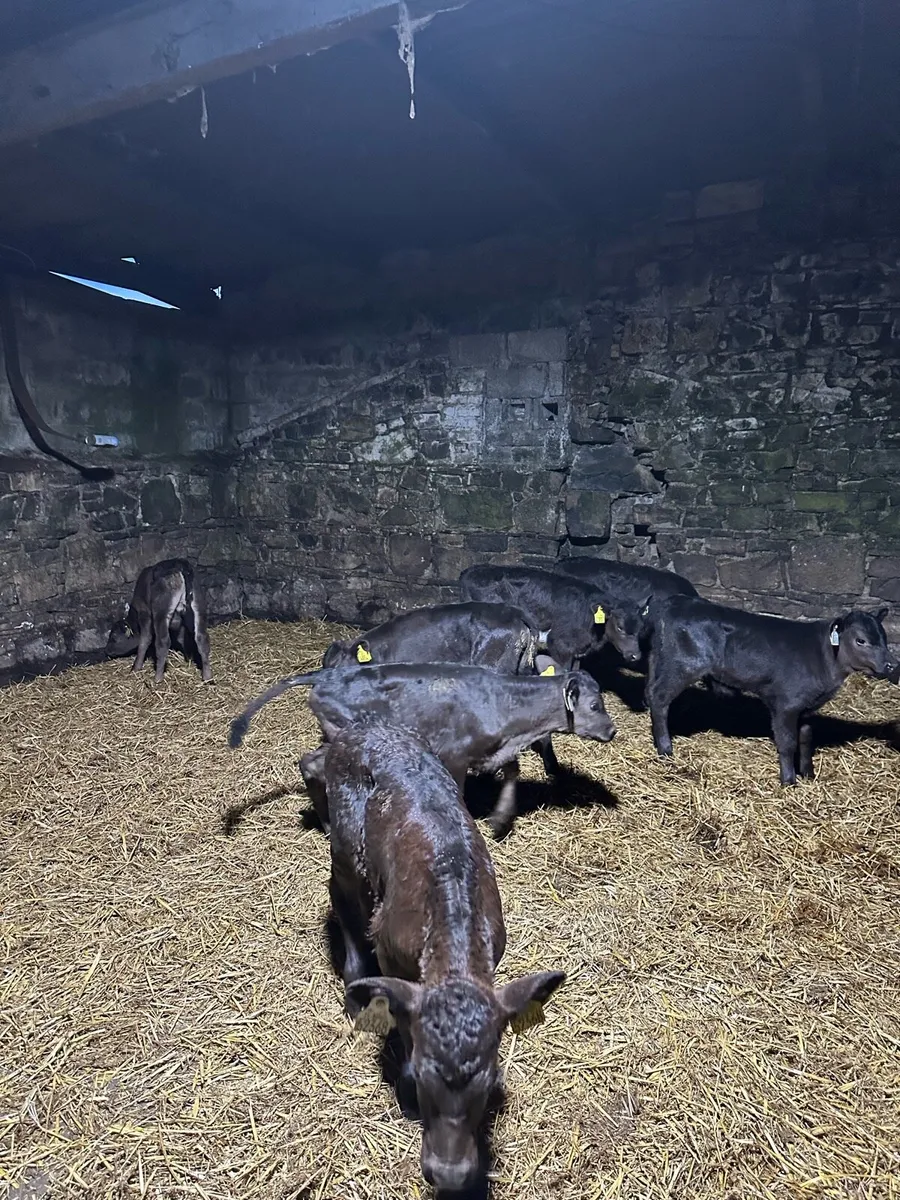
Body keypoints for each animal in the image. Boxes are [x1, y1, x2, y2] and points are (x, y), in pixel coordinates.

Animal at [229, 661, 616, 836]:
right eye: (595, 705)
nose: (612, 730)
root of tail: (324, 676)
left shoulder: (495, 750)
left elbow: (512, 771)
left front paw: (500, 817)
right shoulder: (455, 755)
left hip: (331, 734)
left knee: (309, 762)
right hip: (349, 734)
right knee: (315, 766)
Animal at [326, 722, 566, 1192]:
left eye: (491, 1081)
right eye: (421, 1075)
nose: (449, 1175)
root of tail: (360, 727)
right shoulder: (392, 957)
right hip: (344, 851)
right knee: (340, 896)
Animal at [645, 597, 895, 784]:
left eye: (884, 637)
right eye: (861, 640)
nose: (892, 665)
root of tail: (674, 602)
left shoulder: (806, 707)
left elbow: (806, 738)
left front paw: (808, 775)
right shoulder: (785, 704)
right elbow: (787, 742)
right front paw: (789, 781)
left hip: (659, 661)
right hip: (682, 666)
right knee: (659, 698)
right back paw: (666, 750)